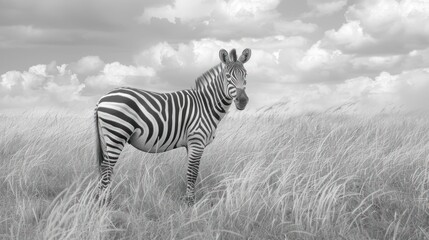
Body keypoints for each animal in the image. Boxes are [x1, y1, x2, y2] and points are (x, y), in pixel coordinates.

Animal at [93, 47, 251, 205]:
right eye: (228, 76)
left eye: (245, 75)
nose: (242, 100)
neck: (205, 105)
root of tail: (102, 98)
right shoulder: (197, 141)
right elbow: (193, 172)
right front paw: (190, 202)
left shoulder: (190, 144)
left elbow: (191, 171)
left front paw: (189, 199)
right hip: (117, 134)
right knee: (106, 167)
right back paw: (104, 202)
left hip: (108, 137)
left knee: (105, 168)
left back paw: (103, 198)